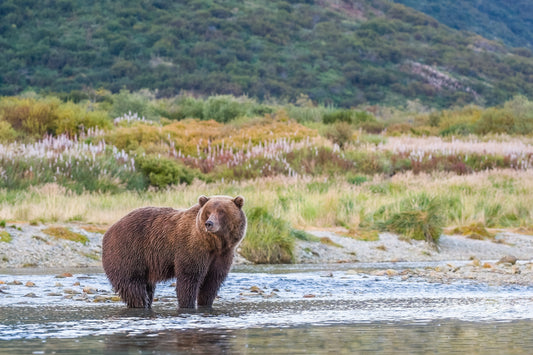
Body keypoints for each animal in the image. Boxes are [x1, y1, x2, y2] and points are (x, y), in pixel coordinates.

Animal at [101, 196, 246, 310]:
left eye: (222, 212)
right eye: (208, 211)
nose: (209, 223)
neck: (214, 244)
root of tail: (109, 230)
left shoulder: (222, 254)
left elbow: (212, 281)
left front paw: (205, 303)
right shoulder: (192, 248)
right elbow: (189, 278)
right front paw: (187, 304)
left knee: (147, 286)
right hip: (128, 251)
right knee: (132, 284)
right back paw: (141, 303)